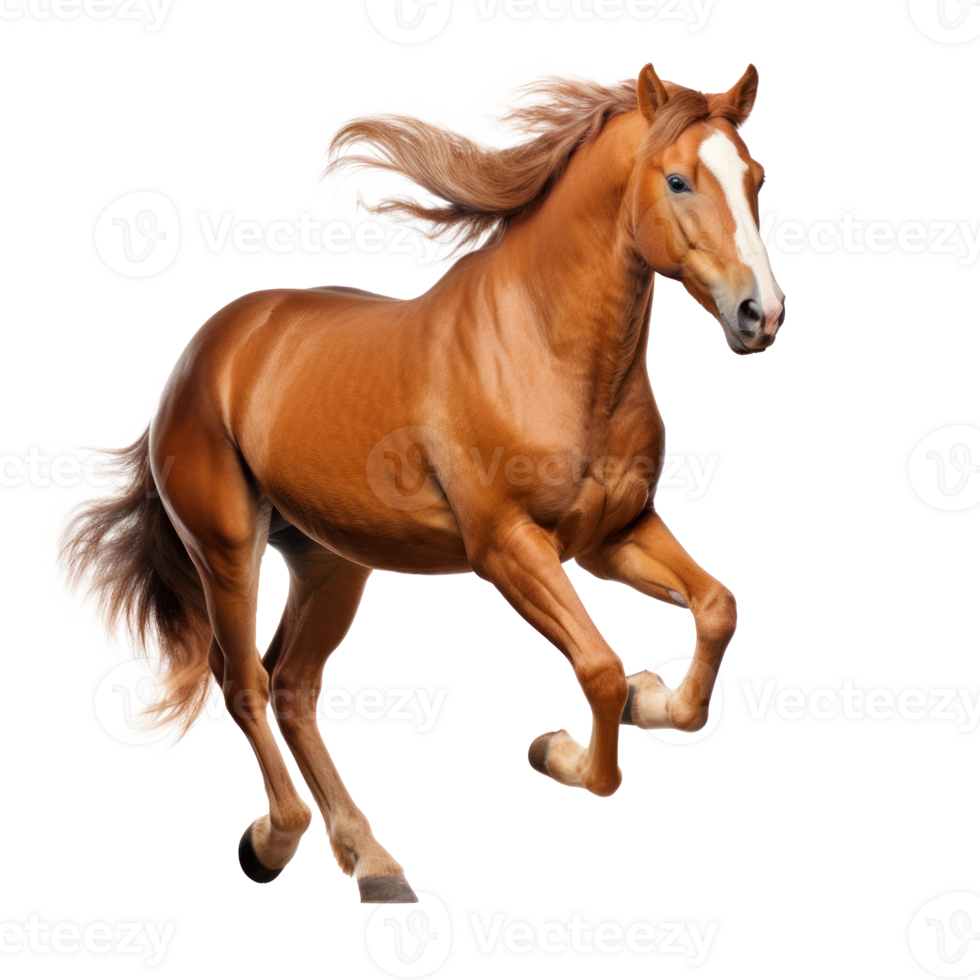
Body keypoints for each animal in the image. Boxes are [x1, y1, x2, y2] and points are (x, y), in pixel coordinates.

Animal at [45, 61, 786, 904]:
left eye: (755, 177)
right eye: (679, 179)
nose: (761, 315)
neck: (547, 349)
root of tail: (205, 353)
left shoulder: (613, 536)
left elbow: (717, 608)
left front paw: (654, 697)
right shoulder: (509, 550)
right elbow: (598, 671)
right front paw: (561, 749)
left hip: (332, 562)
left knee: (295, 685)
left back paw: (370, 859)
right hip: (226, 550)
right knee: (246, 683)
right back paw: (274, 841)